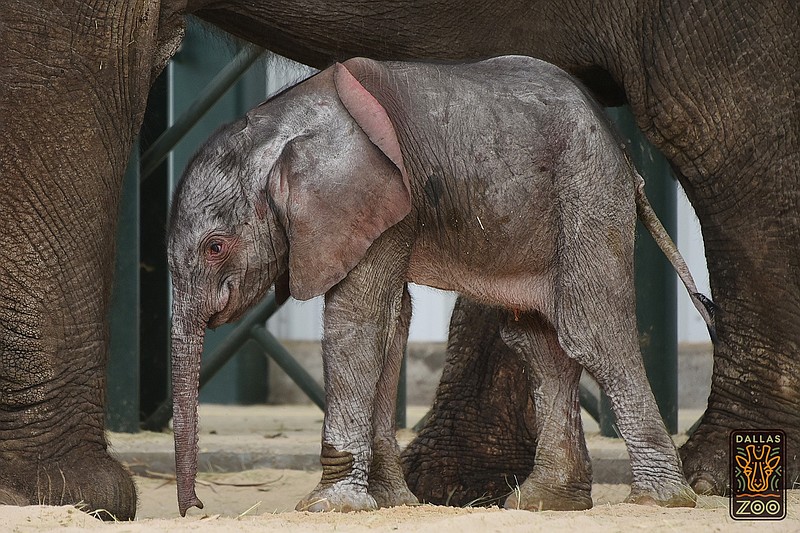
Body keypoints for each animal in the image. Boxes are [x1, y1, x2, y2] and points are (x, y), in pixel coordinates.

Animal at [167, 55, 712, 516]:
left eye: (215, 247)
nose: (196, 508)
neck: (280, 126)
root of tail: (622, 148)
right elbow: (393, 320)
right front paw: (391, 501)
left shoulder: (372, 198)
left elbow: (356, 317)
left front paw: (329, 507)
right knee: (539, 343)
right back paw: (545, 503)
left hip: (588, 189)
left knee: (591, 330)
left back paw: (661, 500)